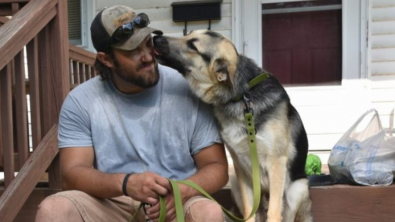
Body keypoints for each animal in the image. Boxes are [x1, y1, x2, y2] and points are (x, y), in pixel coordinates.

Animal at [154, 29, 312, 222]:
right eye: (187, 34)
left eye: (193, 46)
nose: (156, 38)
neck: (242, 97)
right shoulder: (241, 168)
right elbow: (249, 210)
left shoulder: (276, 163)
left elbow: (274, 213)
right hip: (236, 182)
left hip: (297, 188)